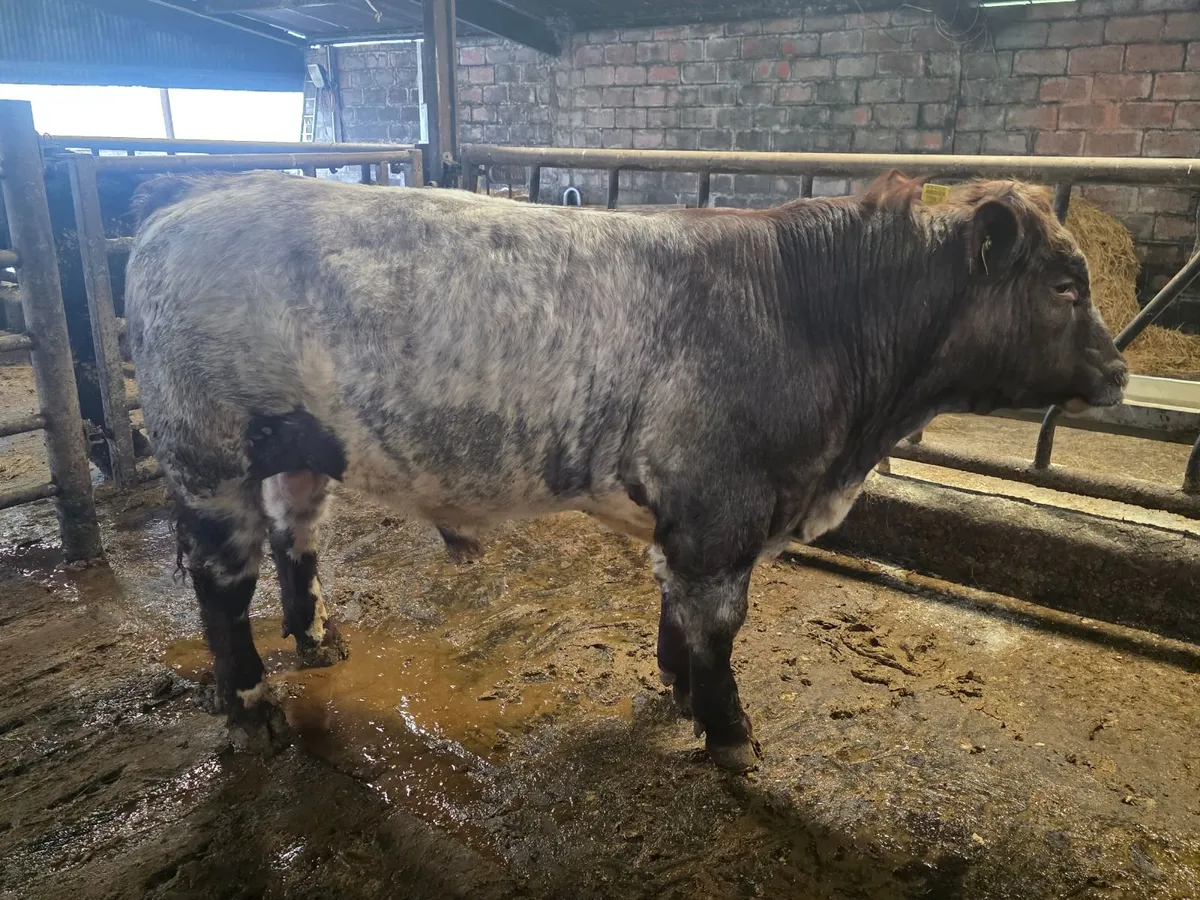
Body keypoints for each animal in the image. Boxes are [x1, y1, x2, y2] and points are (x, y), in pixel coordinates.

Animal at [124, 169, 1127, 771]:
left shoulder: (691, 517)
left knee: (296, 538)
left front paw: (677, 690)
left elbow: (678, 613)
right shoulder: (722, 512)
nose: (1118, 372)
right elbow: (720, 627)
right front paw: (730, 735)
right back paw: (251, 705)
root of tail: (173, 212)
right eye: (1064, 285)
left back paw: (318, 638)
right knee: (222, 585)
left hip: (302, 447)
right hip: (208, 459)